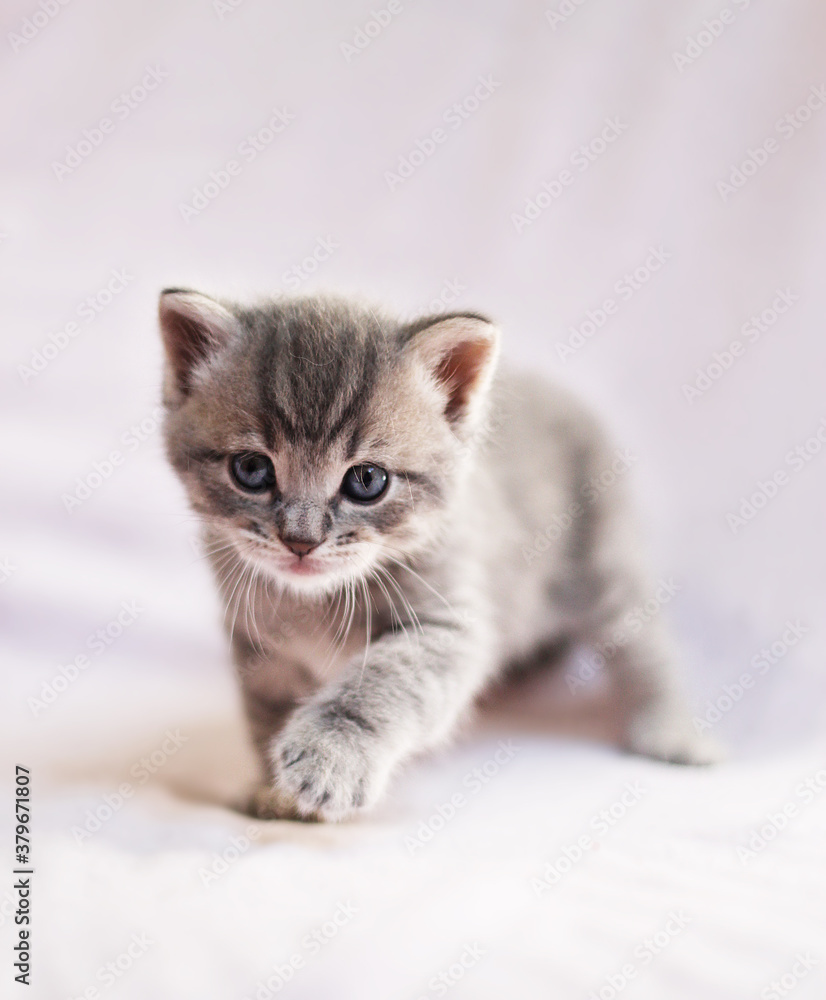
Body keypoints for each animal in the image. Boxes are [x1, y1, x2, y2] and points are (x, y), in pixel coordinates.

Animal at [159, 290, 716, 820]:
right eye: (252, 470)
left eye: (367, 480)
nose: (300, 539)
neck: (315, 602)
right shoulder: (256, 645)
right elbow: (266, 713)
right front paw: (273, 790)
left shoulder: (451, 625)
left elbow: (382, 682)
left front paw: (330, 756)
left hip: (604, 565)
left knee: (647, 647)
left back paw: (672, 730)